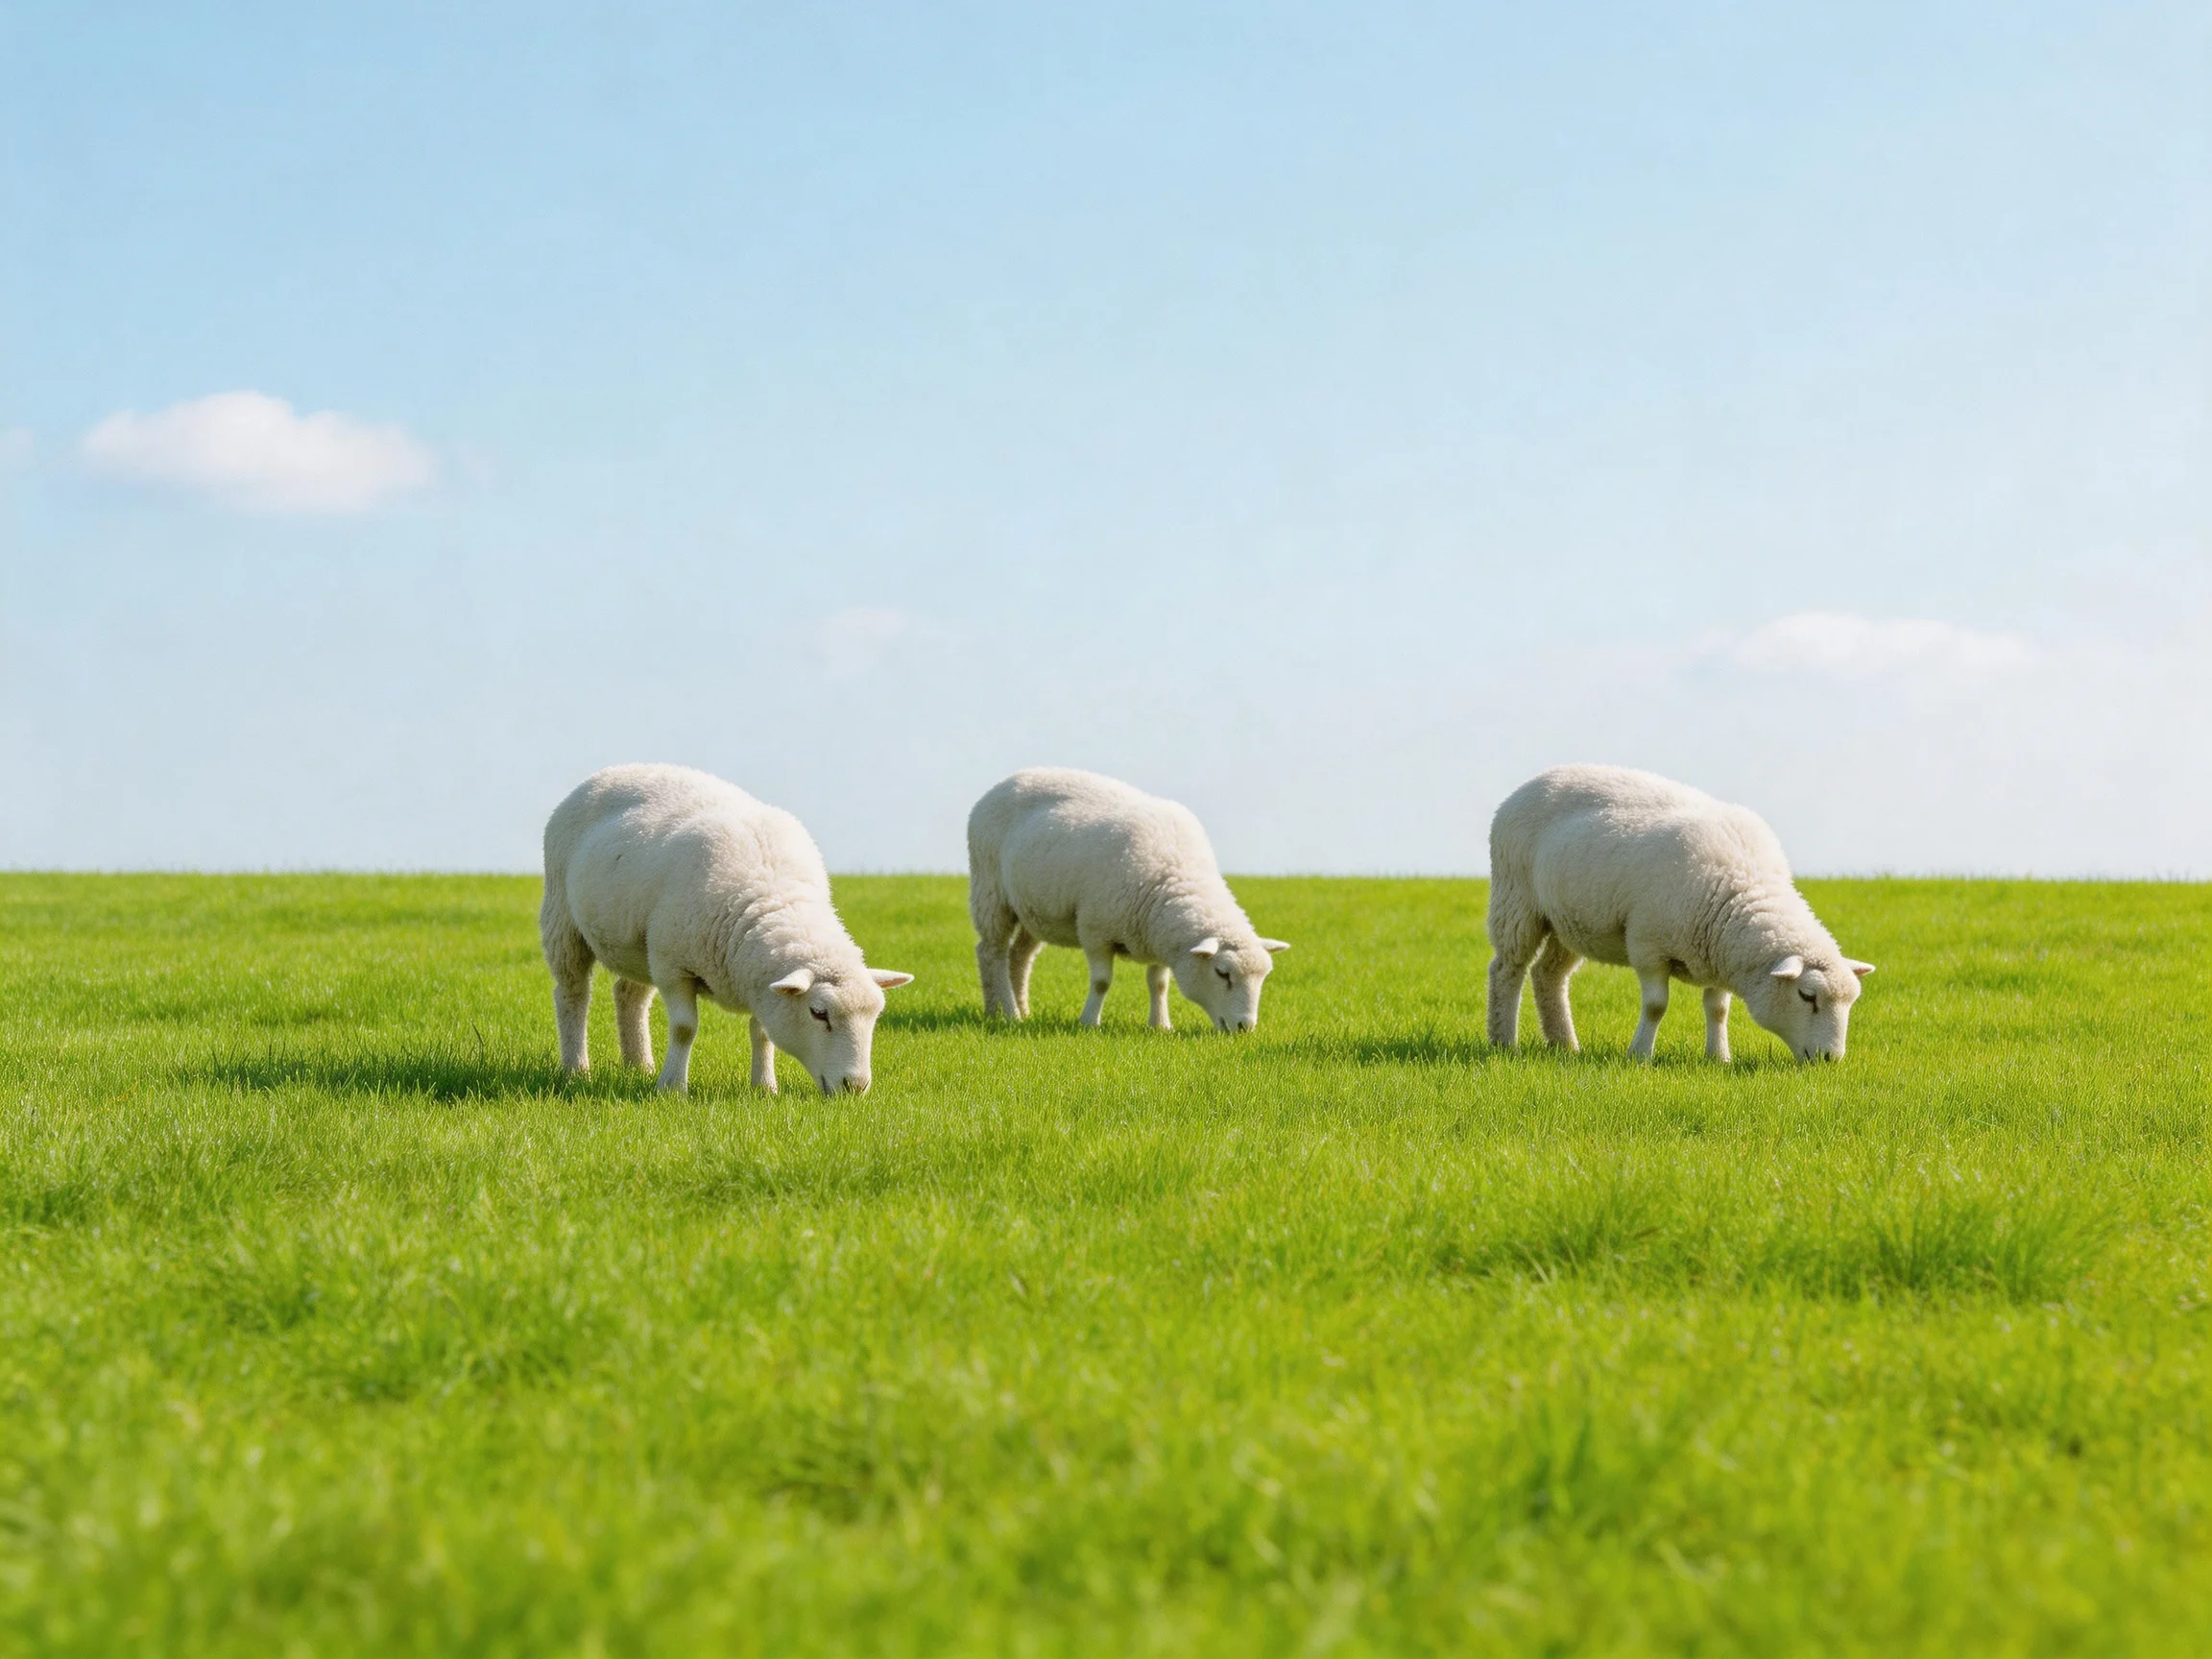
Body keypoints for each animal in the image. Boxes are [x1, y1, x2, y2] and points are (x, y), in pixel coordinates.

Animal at [540, 764, 913, 1094]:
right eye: (818, 1013)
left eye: (876, 1015)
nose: (856, 1086)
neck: (773, 894)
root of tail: (616, 770)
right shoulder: (674, 965)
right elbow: (684, 1029)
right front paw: (672, 1088)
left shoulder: (761, 982)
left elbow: (761, 1032)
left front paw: (765, 1088)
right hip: (563, 919)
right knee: (573, 994)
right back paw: (576, 1069)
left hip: (638, 942)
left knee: (629, 996)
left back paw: (639, 1065)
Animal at [968, 767, 1288, 1032]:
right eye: (1222, 973)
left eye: (1264, 977)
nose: (1245, 1027)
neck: (1175, 873)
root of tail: (1007, 781)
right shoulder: (1095, 930)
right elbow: (1101, 982)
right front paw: (1089, 1023)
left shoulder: (1158, 936)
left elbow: (1158, 984)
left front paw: (1160, 1025)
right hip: (990, 891)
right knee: (991, 952)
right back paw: (1007, 1013)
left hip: (1033, 911)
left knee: (1019, 957)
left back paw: (1014, 1011)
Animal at [1486, 765, 1873, 1063]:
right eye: (1807, 996)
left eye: (1852, 1002)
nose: (1830, 1059)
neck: (1743, 882)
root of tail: (1537, 780)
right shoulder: (1648, 946)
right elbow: (1656, 1006)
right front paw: (1640, 1056)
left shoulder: (1718, 952)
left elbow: (1717, 1009)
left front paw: (1719, 1057)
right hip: (1516, 900)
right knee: (1507, 969)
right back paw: (1504, 1042)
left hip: (1570, 921)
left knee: (1548, 975)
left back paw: (1565, 1045)